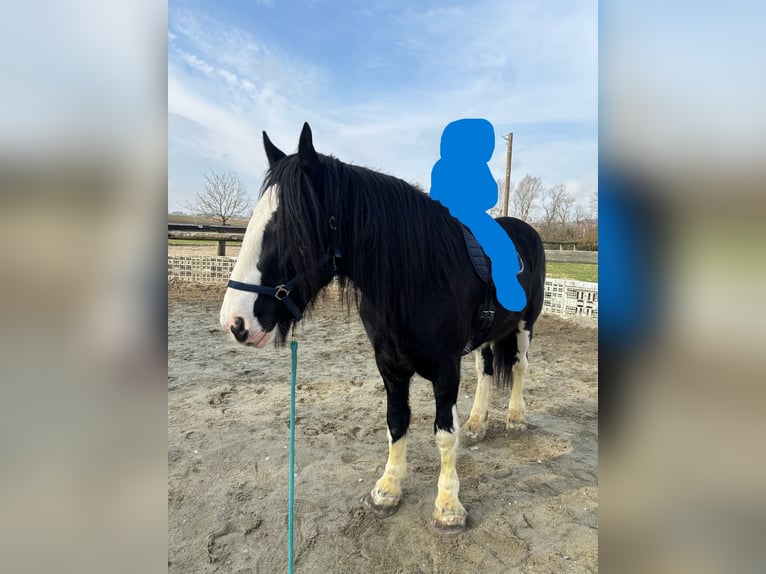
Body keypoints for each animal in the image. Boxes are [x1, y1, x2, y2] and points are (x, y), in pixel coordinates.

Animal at [219, 123, 546, 533]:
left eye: (289, 227)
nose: (234, 322)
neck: (419, 274)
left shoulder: (445, 369)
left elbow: (444, 434)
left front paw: (449, 506)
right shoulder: (389, 365)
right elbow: (396, 422)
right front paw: (388, 489)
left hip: (525, 324)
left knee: (519, 366)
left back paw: (515, 418)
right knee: (486, 370)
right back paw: (477, 423)